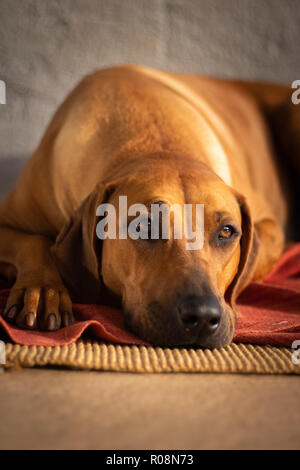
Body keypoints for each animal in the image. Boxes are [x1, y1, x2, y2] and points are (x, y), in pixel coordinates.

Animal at [0, 64, 298, 346]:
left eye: (226, 231)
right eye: (144, 226)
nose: (202, 317)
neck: (158, 144)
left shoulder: (269, 227)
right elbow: (34, 242)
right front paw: (42, 289)